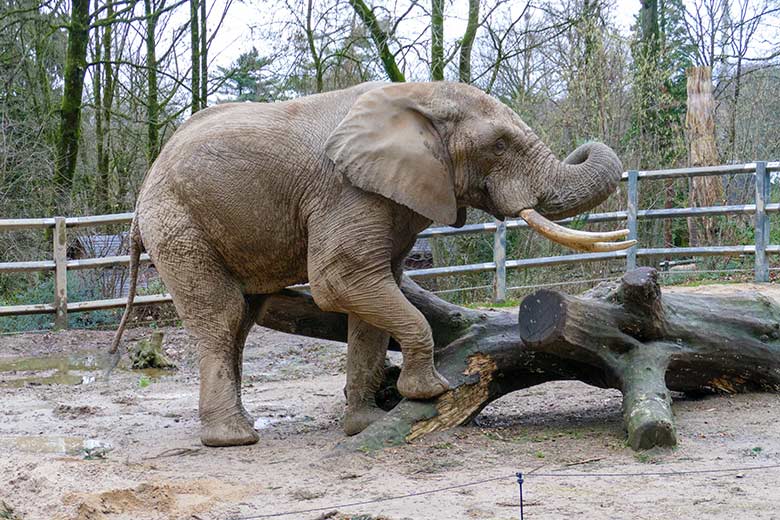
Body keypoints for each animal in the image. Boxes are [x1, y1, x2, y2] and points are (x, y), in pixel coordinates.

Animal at [109, 80, 632, 446]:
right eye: (500, 144)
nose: (584, 144)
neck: (419, 96)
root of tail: (142, 194)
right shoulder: (346, 192)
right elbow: (340, 281)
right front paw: (431, 391)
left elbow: (375, 297)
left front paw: (365, 424)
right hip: (177, 224)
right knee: (222, 316)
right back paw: (234, 439)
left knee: (243, 319)